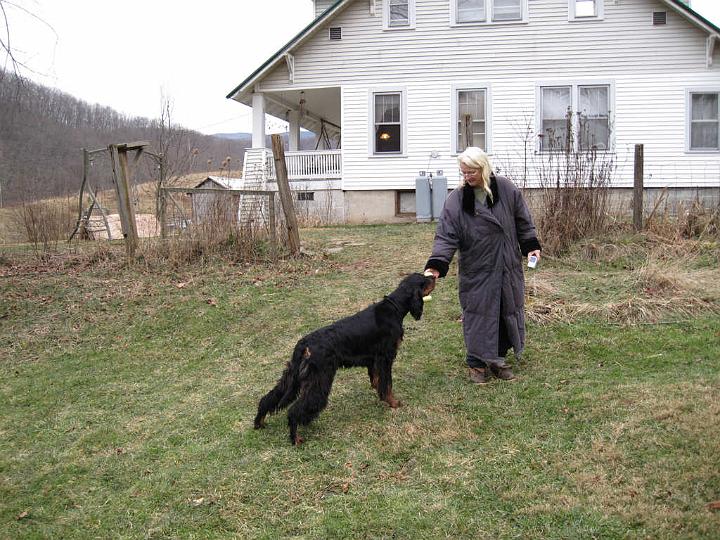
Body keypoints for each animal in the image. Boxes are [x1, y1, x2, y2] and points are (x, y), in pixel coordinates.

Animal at [253, 272, 434, 446]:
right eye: (424, 280)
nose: (433, 276)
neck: (394, 307)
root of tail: (305, 344)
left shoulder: (374, 359)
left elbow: (376, 379)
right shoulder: (386, 357)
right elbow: (387, 384)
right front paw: (393, 403)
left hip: (293, 376)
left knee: (268, 398)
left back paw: (259, 423)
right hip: (320, 379)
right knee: (294, 410)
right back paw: (295, 438)